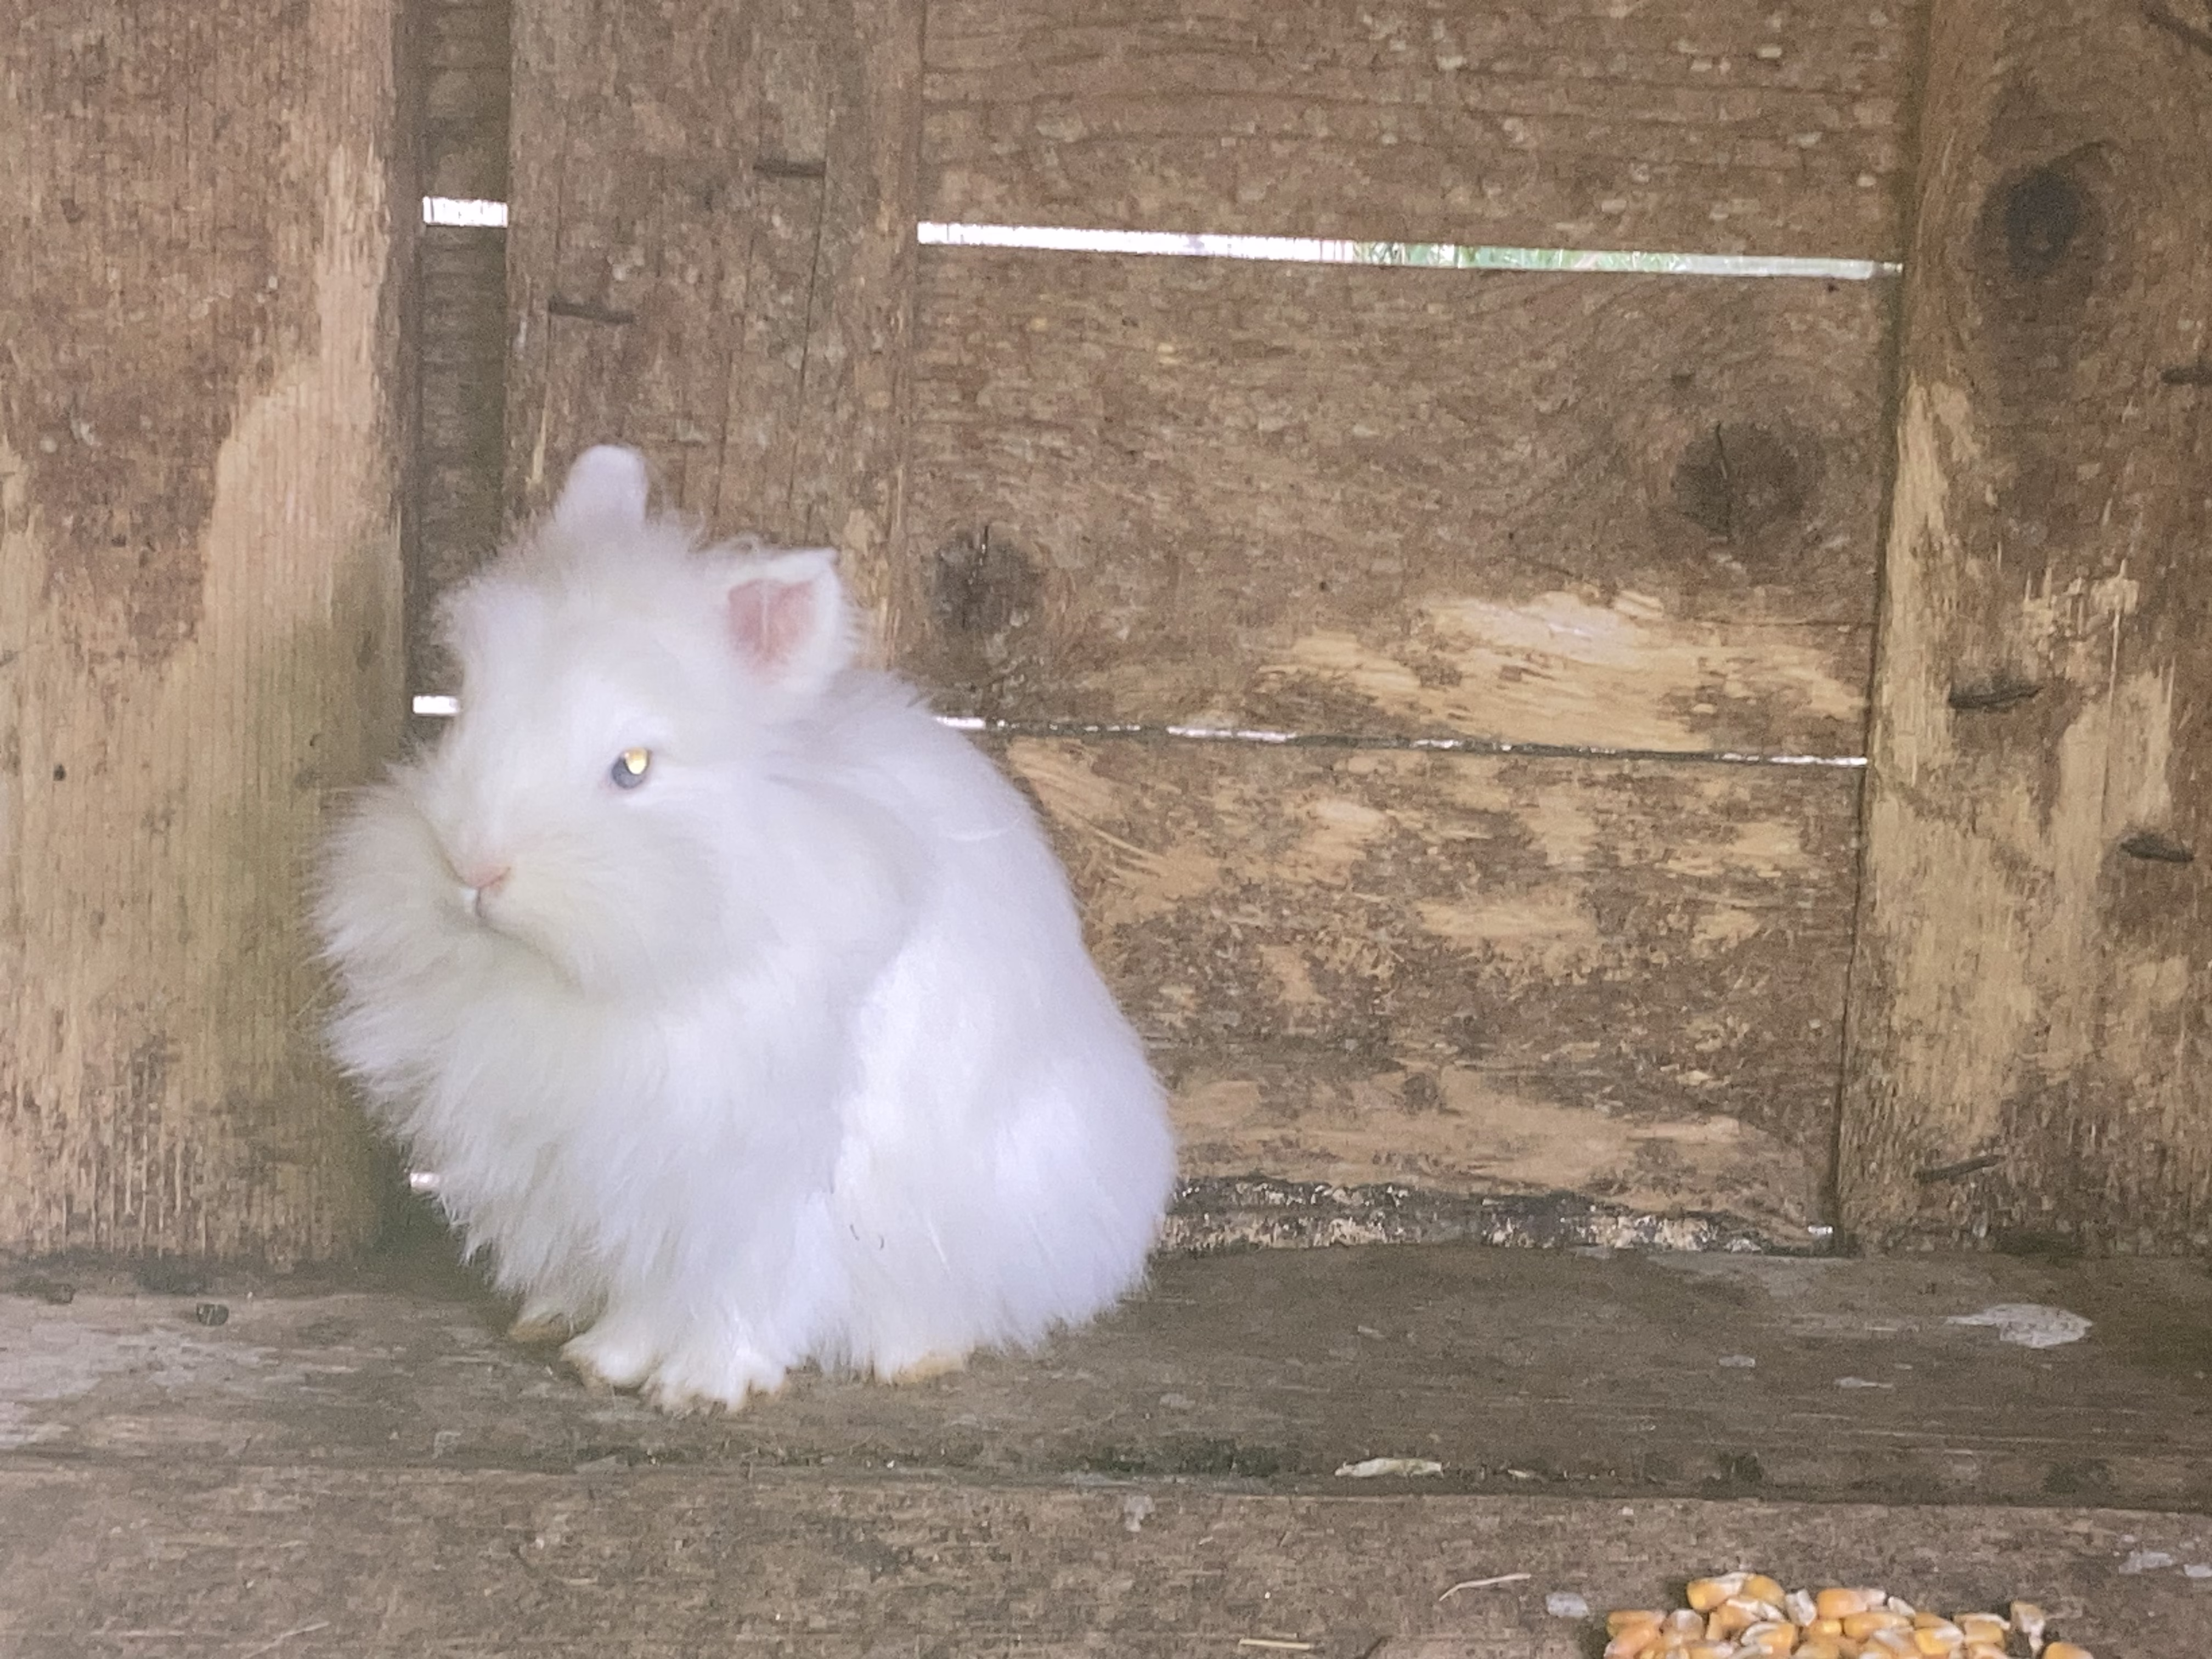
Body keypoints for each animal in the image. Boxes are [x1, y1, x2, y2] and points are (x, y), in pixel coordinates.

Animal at [315, 444, 1177, 1411]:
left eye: (632, 767)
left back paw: (915, 1354)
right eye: (462, 713)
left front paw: (691, 1385)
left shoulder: (750, 1192)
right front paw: (598, 1354)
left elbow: (732, 1294)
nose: (473, 867)